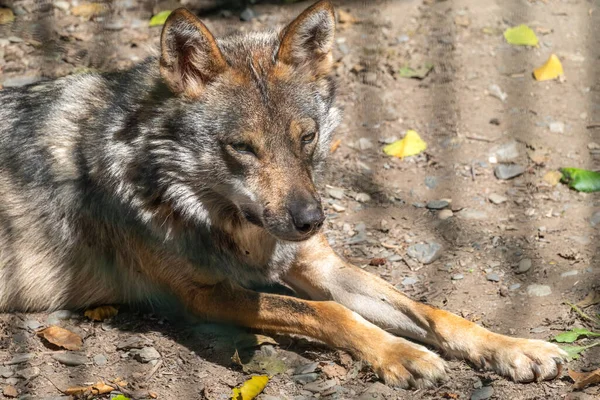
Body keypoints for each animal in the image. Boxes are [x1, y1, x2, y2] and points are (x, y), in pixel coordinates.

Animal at [0, 0, 568, 388]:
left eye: (306, 137)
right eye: (242, 148)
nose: (310, 220)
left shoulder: (318, 265)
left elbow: (434, 312)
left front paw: (513, 348)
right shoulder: (201, 295)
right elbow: (330, 314)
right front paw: (401, 355)